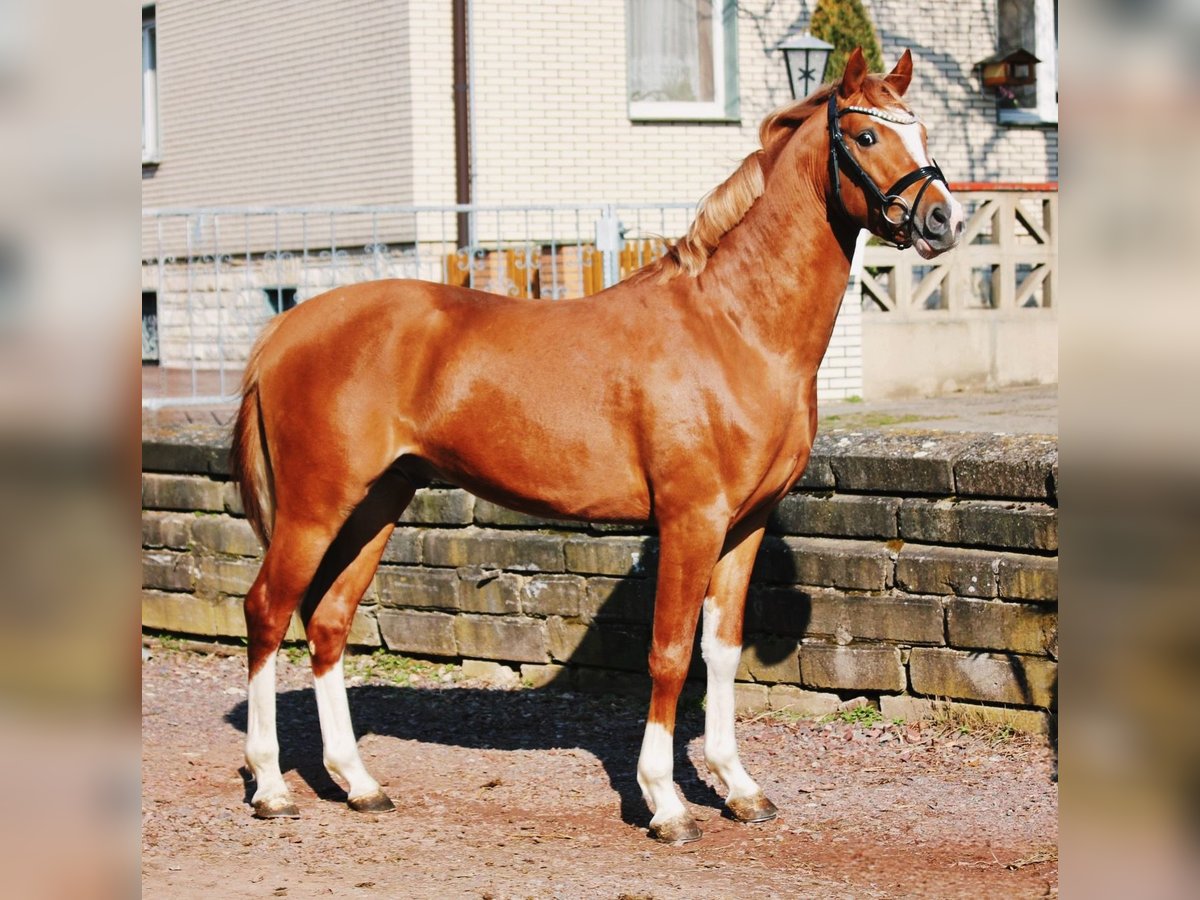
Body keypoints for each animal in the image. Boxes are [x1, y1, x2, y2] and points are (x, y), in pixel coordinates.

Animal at [231, 51, 964, 844]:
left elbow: (722, 651)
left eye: (921, 130)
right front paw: (666, 803)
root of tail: (286, 327)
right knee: (267, 612)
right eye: (865, 135)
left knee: (328, 620)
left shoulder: (744, 525)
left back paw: (359, 783)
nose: (944, 218)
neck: (734, 327)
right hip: (315, 507)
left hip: (378, 502)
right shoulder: (691, 519)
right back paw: (271, 787)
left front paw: (739, 788)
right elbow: (670, 655)